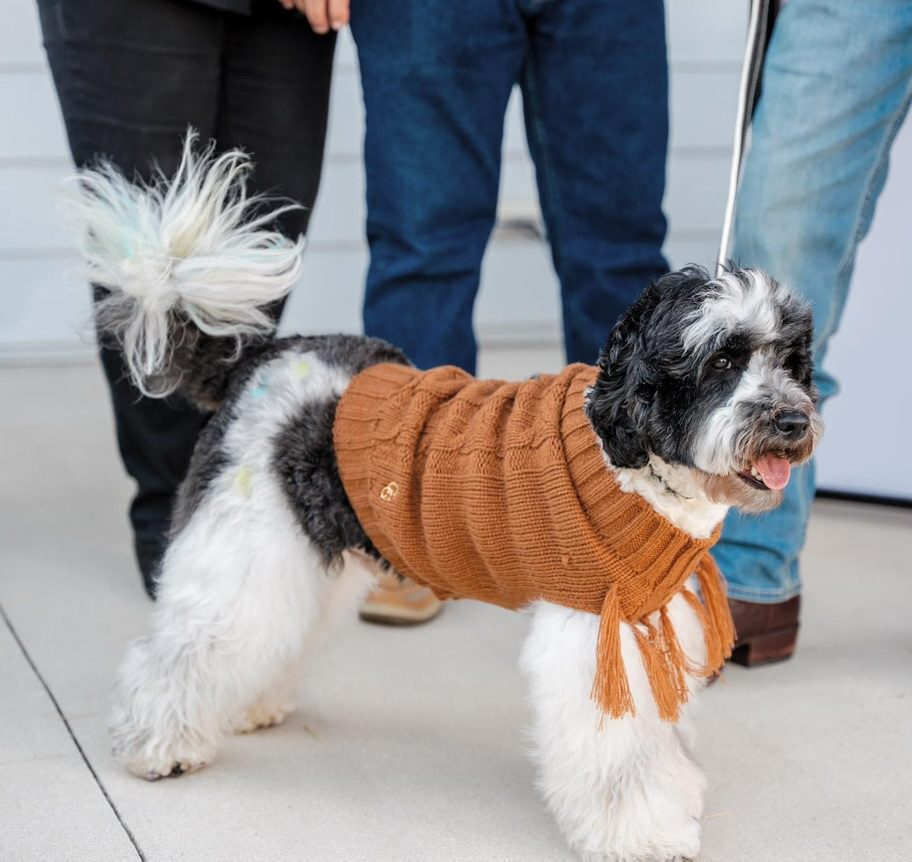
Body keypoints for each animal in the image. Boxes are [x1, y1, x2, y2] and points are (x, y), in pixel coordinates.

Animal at [71, 143, 824, 862]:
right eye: (721, 361)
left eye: (790, 361)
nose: (793, 420)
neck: (628, 458)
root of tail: (263, 358)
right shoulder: (593, 633)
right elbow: (620, 760)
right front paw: (643, 834)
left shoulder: (652, 618)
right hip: (247, 547)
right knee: (187, 646)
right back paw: (156, 746)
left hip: (311, 551)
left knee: (270, 636)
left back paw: (247, 706)